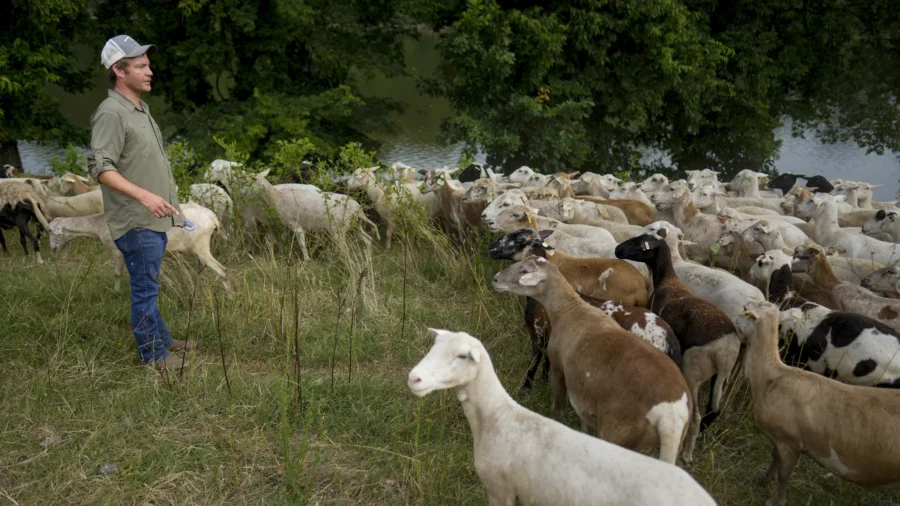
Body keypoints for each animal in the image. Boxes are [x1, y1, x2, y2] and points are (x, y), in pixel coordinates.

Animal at [47, 203, 230, 290]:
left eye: (50, 231)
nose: (52, 249)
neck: (98, 224)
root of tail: (213, 218)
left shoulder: (117, 251)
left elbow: (117, 273)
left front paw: (115, 292)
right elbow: (157, 273)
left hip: (201, 246)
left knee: (222, 270)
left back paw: (229, 297)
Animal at [492, 255, 696, 464]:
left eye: (524, 271)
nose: (496, 279)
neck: (569, 308)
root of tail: (671, 417)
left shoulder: (558, 368)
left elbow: (557, 407)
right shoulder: (584, 390)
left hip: (617, 430)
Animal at [616, 231, 740, 460]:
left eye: (640, 244)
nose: (617, 250)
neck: (668, 280)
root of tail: (725, 347)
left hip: (693, 368)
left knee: (696, 415)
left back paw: (686, 453)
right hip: (721, 376)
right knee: (713, 410)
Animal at [736, 300, 900, 506]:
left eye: (745, 309)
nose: (733, 321)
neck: (772, 374)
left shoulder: (790, 442)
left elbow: (784, 475)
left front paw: (776, 501)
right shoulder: (778, 439)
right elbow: (774, 458)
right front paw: (764, 479)